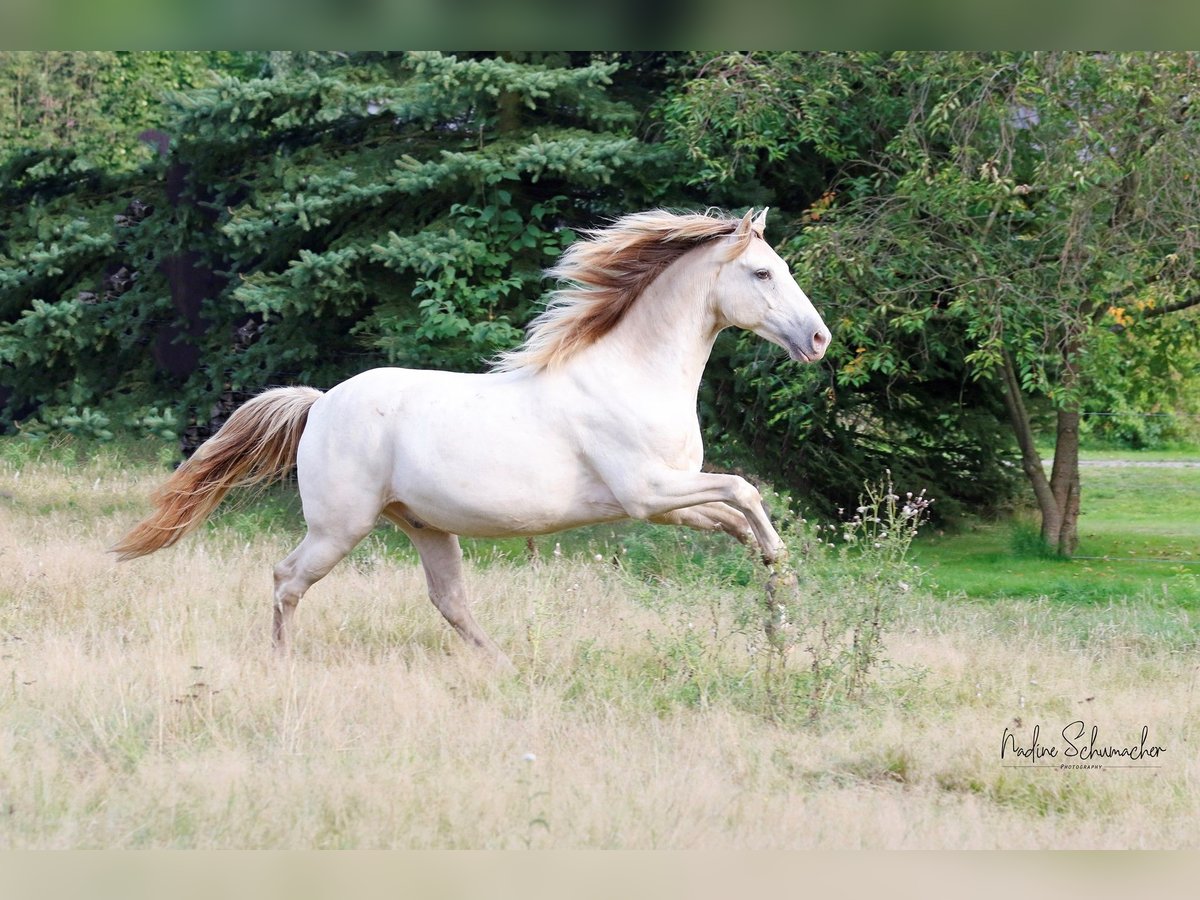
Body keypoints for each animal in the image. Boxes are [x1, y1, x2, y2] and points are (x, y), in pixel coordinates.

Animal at [112, 207, 830, 667]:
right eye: (762, 274)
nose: (818, 339)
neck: (632, 373)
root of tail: (320, 405)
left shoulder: (671, 499)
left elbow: (739, 517)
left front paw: (777, 601)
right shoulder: (648, 493)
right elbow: (745, 489)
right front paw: (787, 593)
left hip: (425, 525)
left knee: (449, 602)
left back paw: (507, 667)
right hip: (339, 527)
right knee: (287, 579)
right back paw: (281, 665)